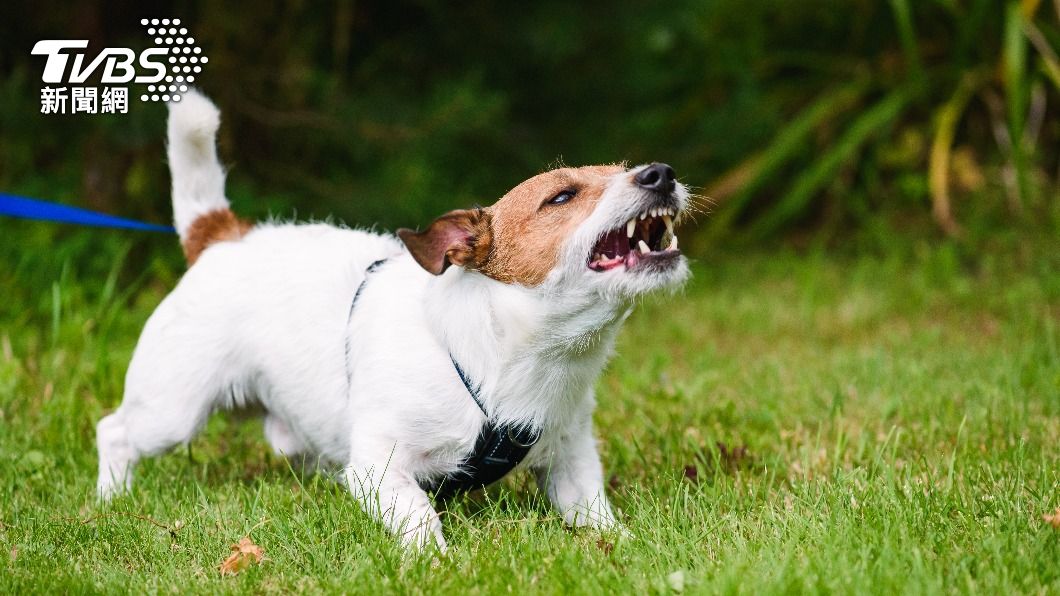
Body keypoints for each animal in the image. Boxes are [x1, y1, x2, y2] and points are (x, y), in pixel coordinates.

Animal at [95, 90, 691, 551]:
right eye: (562, 196)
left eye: (623, 170)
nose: (662, 173)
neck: (510, 356)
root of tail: (222, 236)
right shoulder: (379, 467)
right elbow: (419, 514)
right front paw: (437, 562)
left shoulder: (570, 457)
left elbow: (593, 511)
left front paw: (624, 548)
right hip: (172, 409)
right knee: (114, 431)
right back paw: (110, 499)